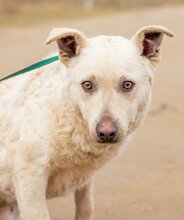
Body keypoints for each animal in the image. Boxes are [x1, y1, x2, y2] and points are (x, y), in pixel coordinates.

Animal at [0, 24, 173, 219]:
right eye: (87, 85)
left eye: (127, 85)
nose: (106, 133)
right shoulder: (29, 175)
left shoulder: (85, 179)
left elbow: (86, 208)